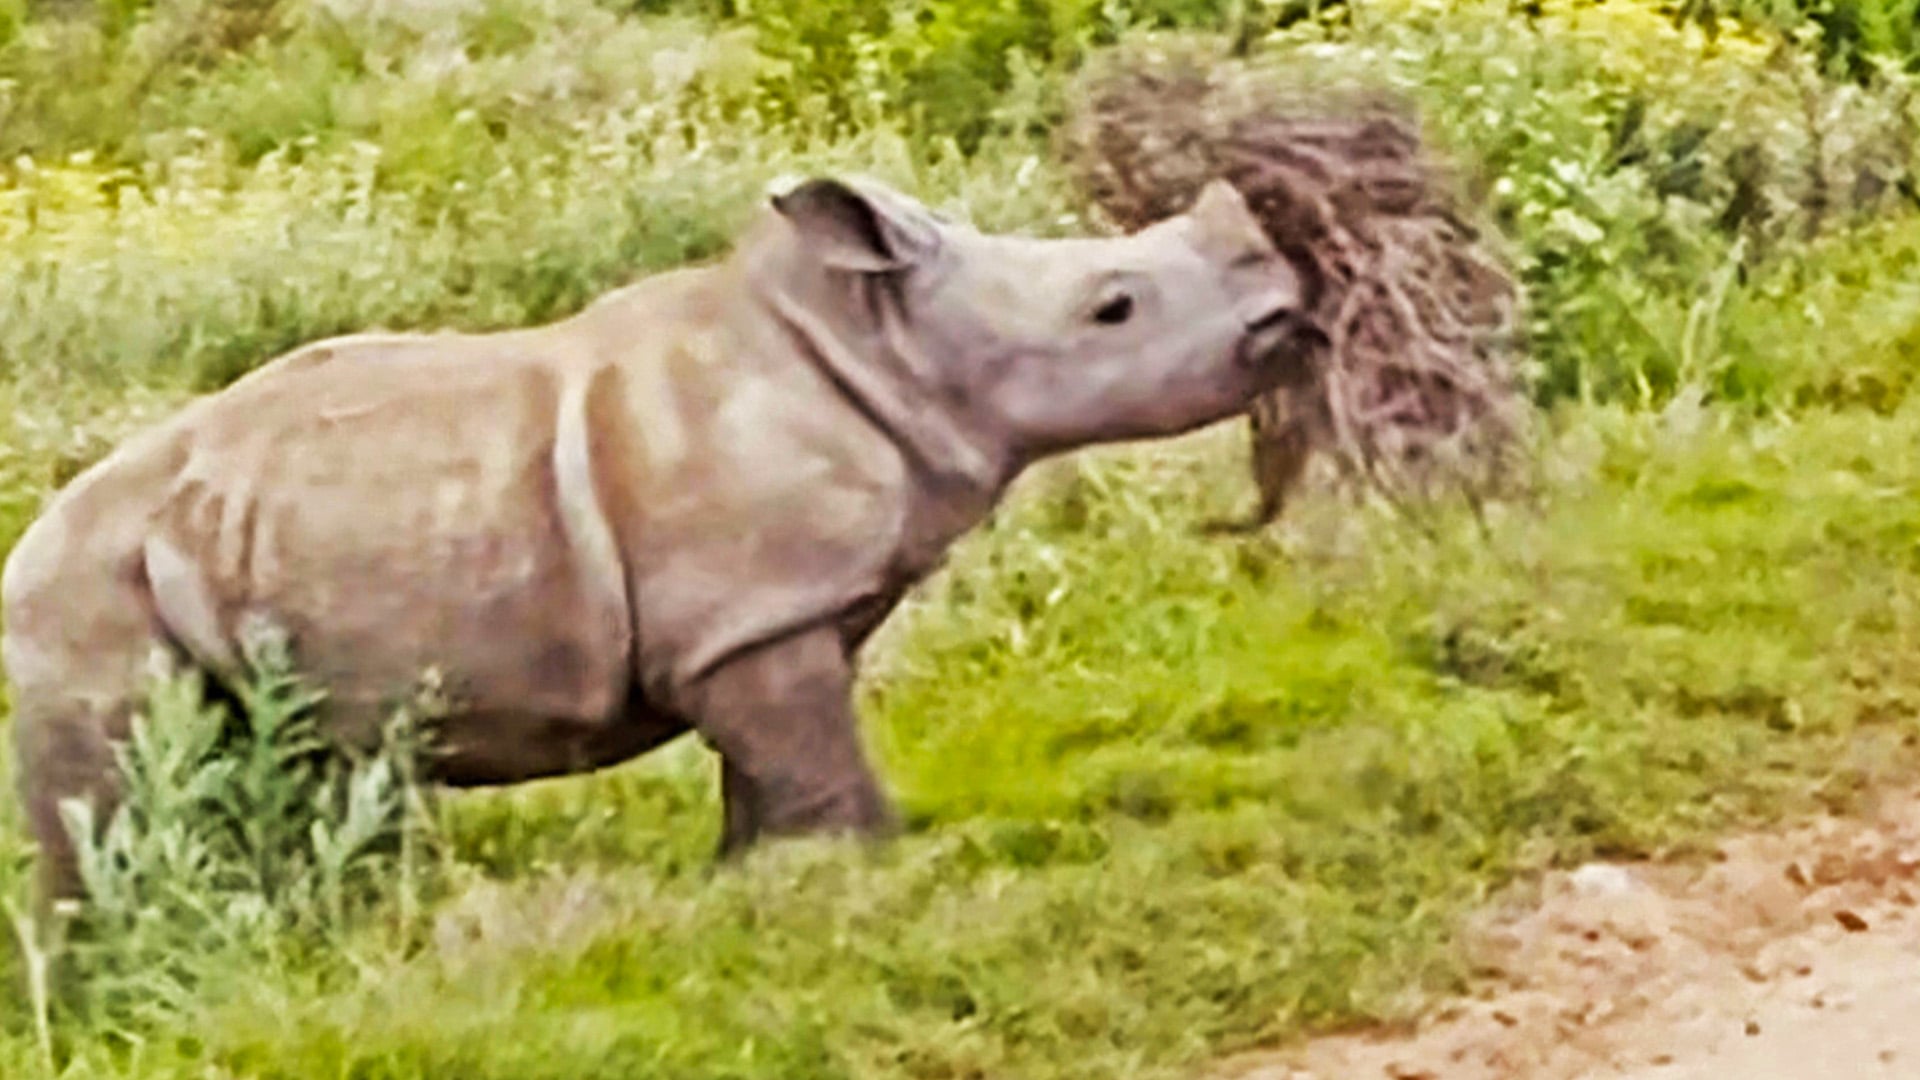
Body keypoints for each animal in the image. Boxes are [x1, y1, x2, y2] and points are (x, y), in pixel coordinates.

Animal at [3, 173, 1317, 906]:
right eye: (1112, 307)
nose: (1288, 316)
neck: (877, 346)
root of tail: (27, 542)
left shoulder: (760, 618)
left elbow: (773, 767)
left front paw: (758, 886)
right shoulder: (749, 619)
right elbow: (817, 766)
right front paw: (871, 884)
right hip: (78, 588)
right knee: (119, 790)